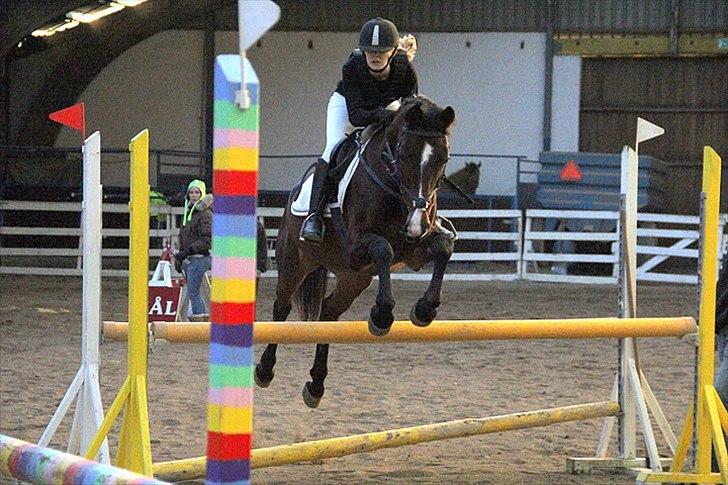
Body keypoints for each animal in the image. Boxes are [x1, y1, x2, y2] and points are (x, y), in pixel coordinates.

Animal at [256, 96, 456, 406]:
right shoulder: (357, 247)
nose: (416, 223)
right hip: (294, 262)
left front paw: (424, 310)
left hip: (354, 279)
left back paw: (316, 385)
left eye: (443, 159)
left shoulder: (414, 250)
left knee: (328, 312)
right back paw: (265, 370)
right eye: (404, 154)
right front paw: (382, 315)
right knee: (282, 307)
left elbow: (444, 247)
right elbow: (384, 249)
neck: (393, 187)